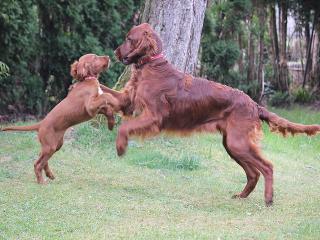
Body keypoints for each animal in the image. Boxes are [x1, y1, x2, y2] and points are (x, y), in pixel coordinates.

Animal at [0, 53, 114, 184]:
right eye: (95, 57)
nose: (108, 57)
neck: (87, 79)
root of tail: (40, 124)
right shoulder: (90, 107)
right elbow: (106, 96)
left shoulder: (95, 108)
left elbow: (107, 109)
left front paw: (111, 123)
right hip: (50, 146)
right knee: (37, 164)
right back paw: (41, 182)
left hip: (55, 145)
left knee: (42, 159)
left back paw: (50, 174)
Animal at [103, 23, 320, 205]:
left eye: (129, 39)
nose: (114, 52)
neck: (151, 66)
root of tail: (254, 104)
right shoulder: (128, 101)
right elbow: (106, 91)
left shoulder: (154, 116)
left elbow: (125, 126)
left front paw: (120, 147)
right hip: (232, 144)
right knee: (253, 173)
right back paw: (241, 196)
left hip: (237, 143)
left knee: (267, 167)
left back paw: (268, 199)